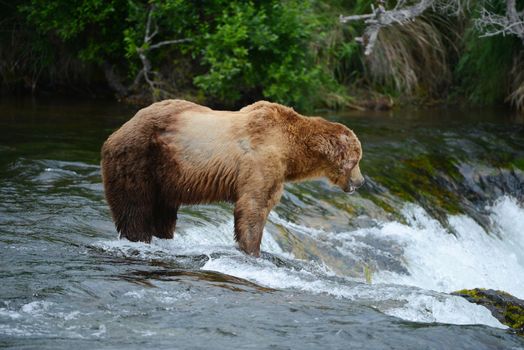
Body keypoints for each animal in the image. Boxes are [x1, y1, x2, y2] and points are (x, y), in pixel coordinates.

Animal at [102, 100, 364, 256]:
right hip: (139, 160)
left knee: (164, 213)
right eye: (357, 159)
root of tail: (116, 132)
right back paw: (139, 237)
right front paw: (252, 250)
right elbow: (253, 206)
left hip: (166, 177)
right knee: (135, 207)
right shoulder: (261, 159)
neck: (292, 151)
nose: (361, 182)